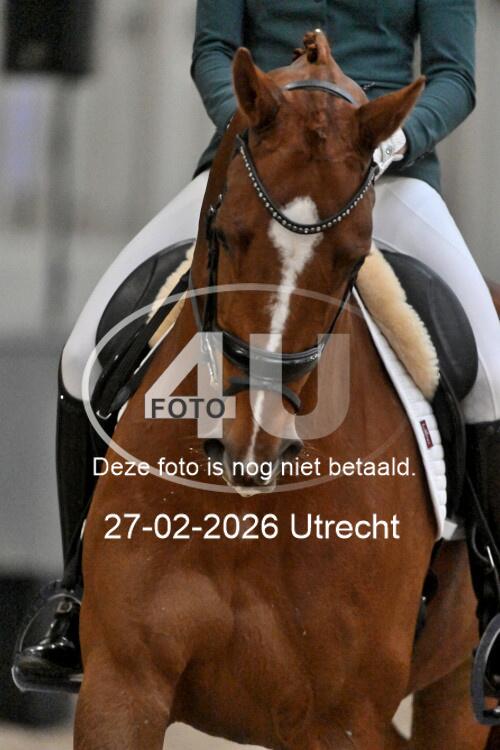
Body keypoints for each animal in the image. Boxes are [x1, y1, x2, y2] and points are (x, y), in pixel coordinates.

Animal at [75, 31, 490, 749]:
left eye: (355, 258)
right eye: (225, 234)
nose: (254, 446)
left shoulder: (343, 721)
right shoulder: (120, 686)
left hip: (457, 693)